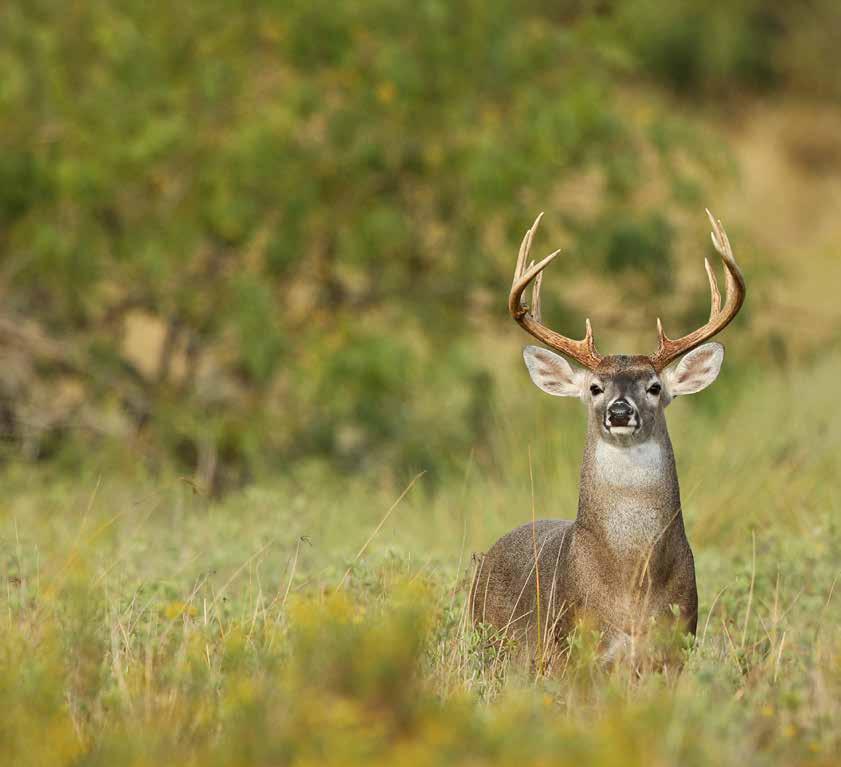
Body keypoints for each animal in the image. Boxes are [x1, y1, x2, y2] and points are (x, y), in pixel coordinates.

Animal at [470, 209, 745, 665]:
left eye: (654, 386)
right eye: (596, 387)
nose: (619, 412)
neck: (630, 584)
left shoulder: (676, 644)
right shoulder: (571, 645)